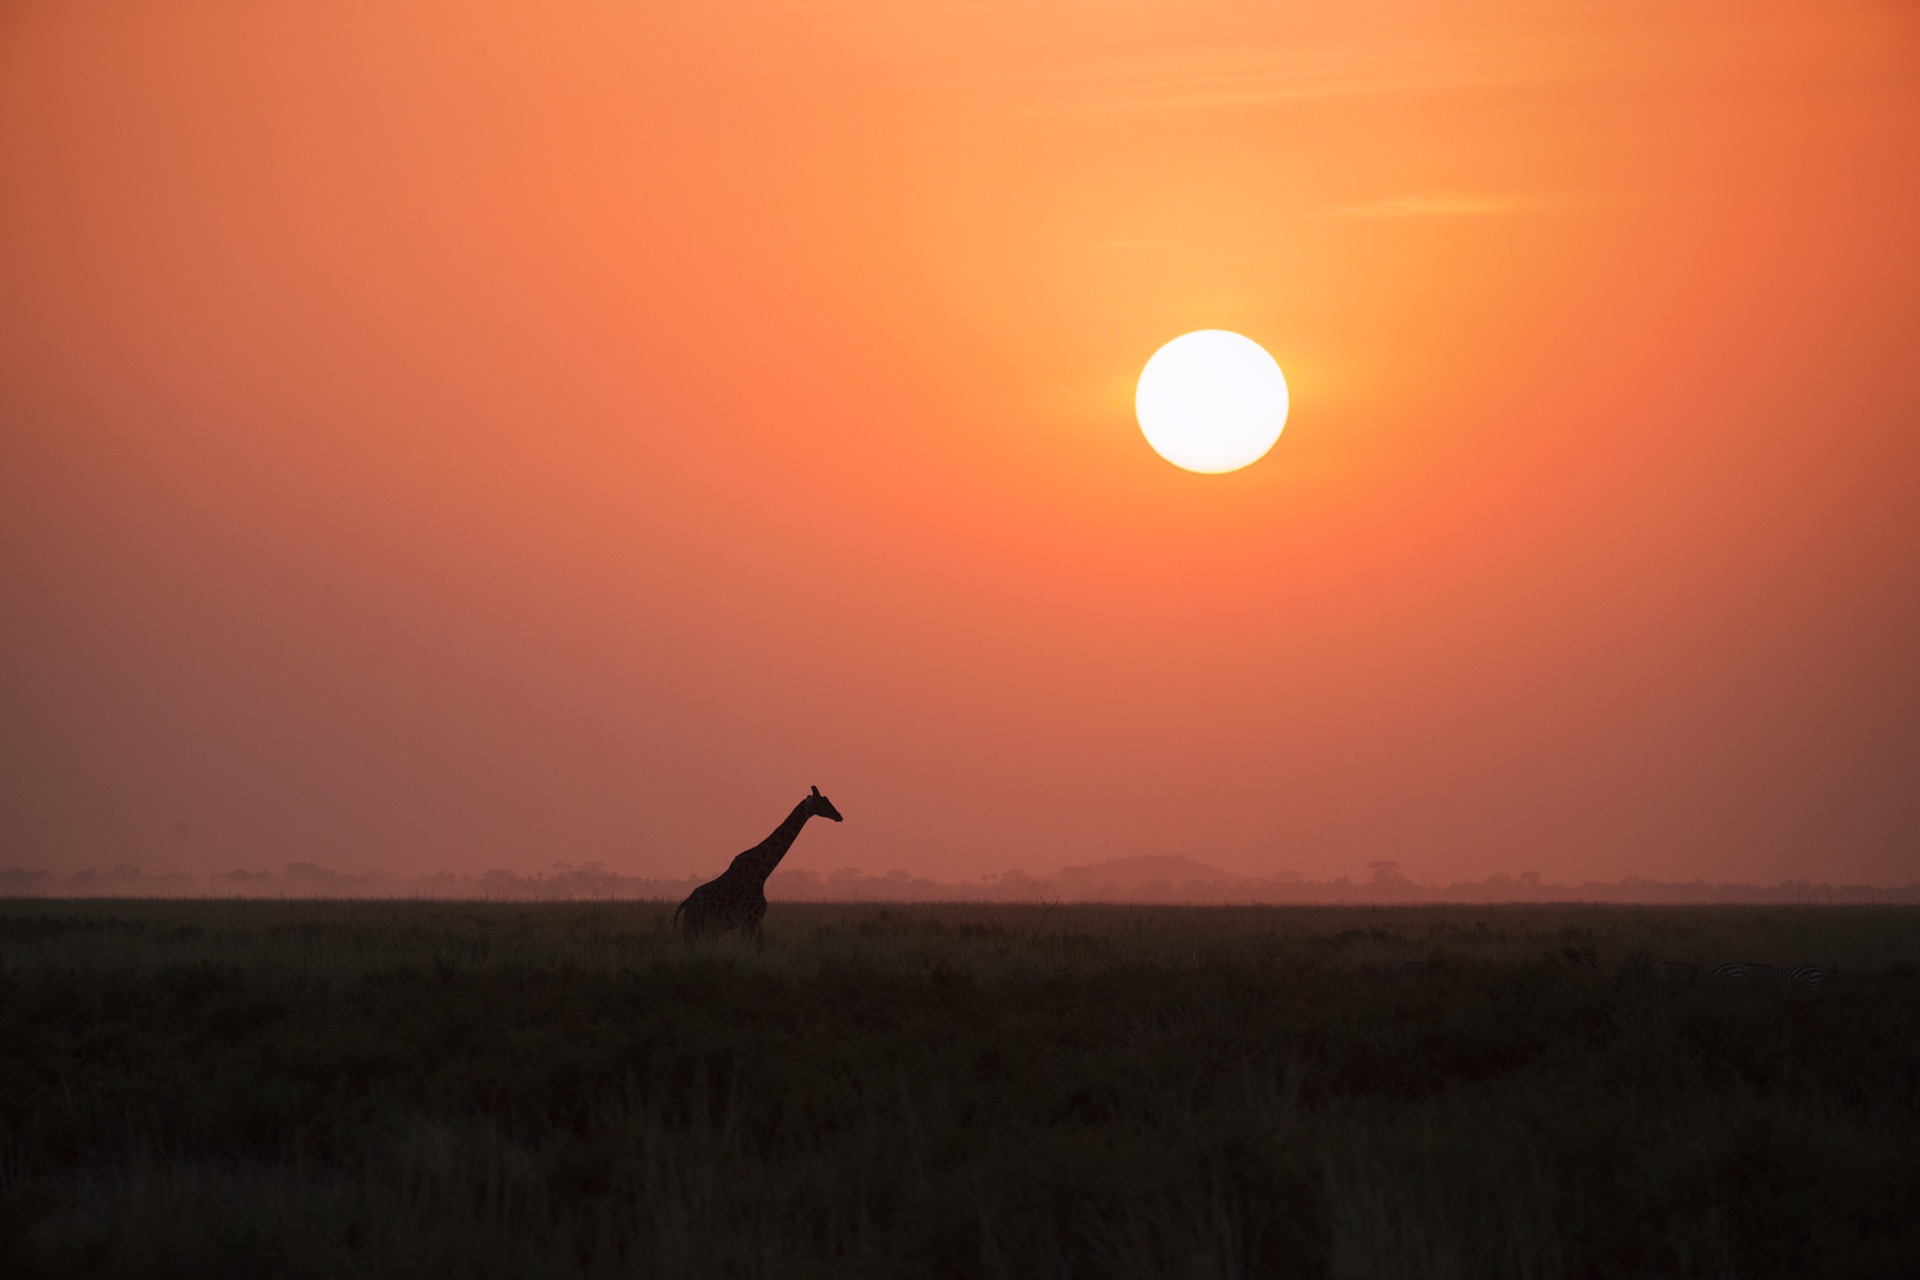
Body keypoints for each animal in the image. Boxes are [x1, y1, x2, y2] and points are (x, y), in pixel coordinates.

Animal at [679, 782, 844, 940]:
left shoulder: (755, 921)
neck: (761, 874)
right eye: (822, 803)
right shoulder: (750, 919)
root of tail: (686, 903)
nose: (839, 816)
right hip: (694, 927)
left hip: (707, 929)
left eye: (828, 800)